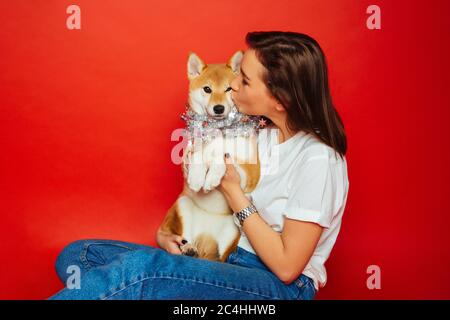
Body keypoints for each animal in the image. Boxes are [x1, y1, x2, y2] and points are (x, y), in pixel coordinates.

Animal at [160, 52, 262, 262]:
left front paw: (213, 175)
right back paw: (189, 248)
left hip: (233, 230)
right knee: (186, 239)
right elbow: (199, 157)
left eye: (229, 88)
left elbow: (222, 157)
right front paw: (197, 177)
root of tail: (205, 238)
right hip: (184, 204)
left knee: (221, 259)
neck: (219, 130)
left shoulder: (251, 172)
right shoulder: (191, 152)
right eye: (207, 89)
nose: (219, 108)